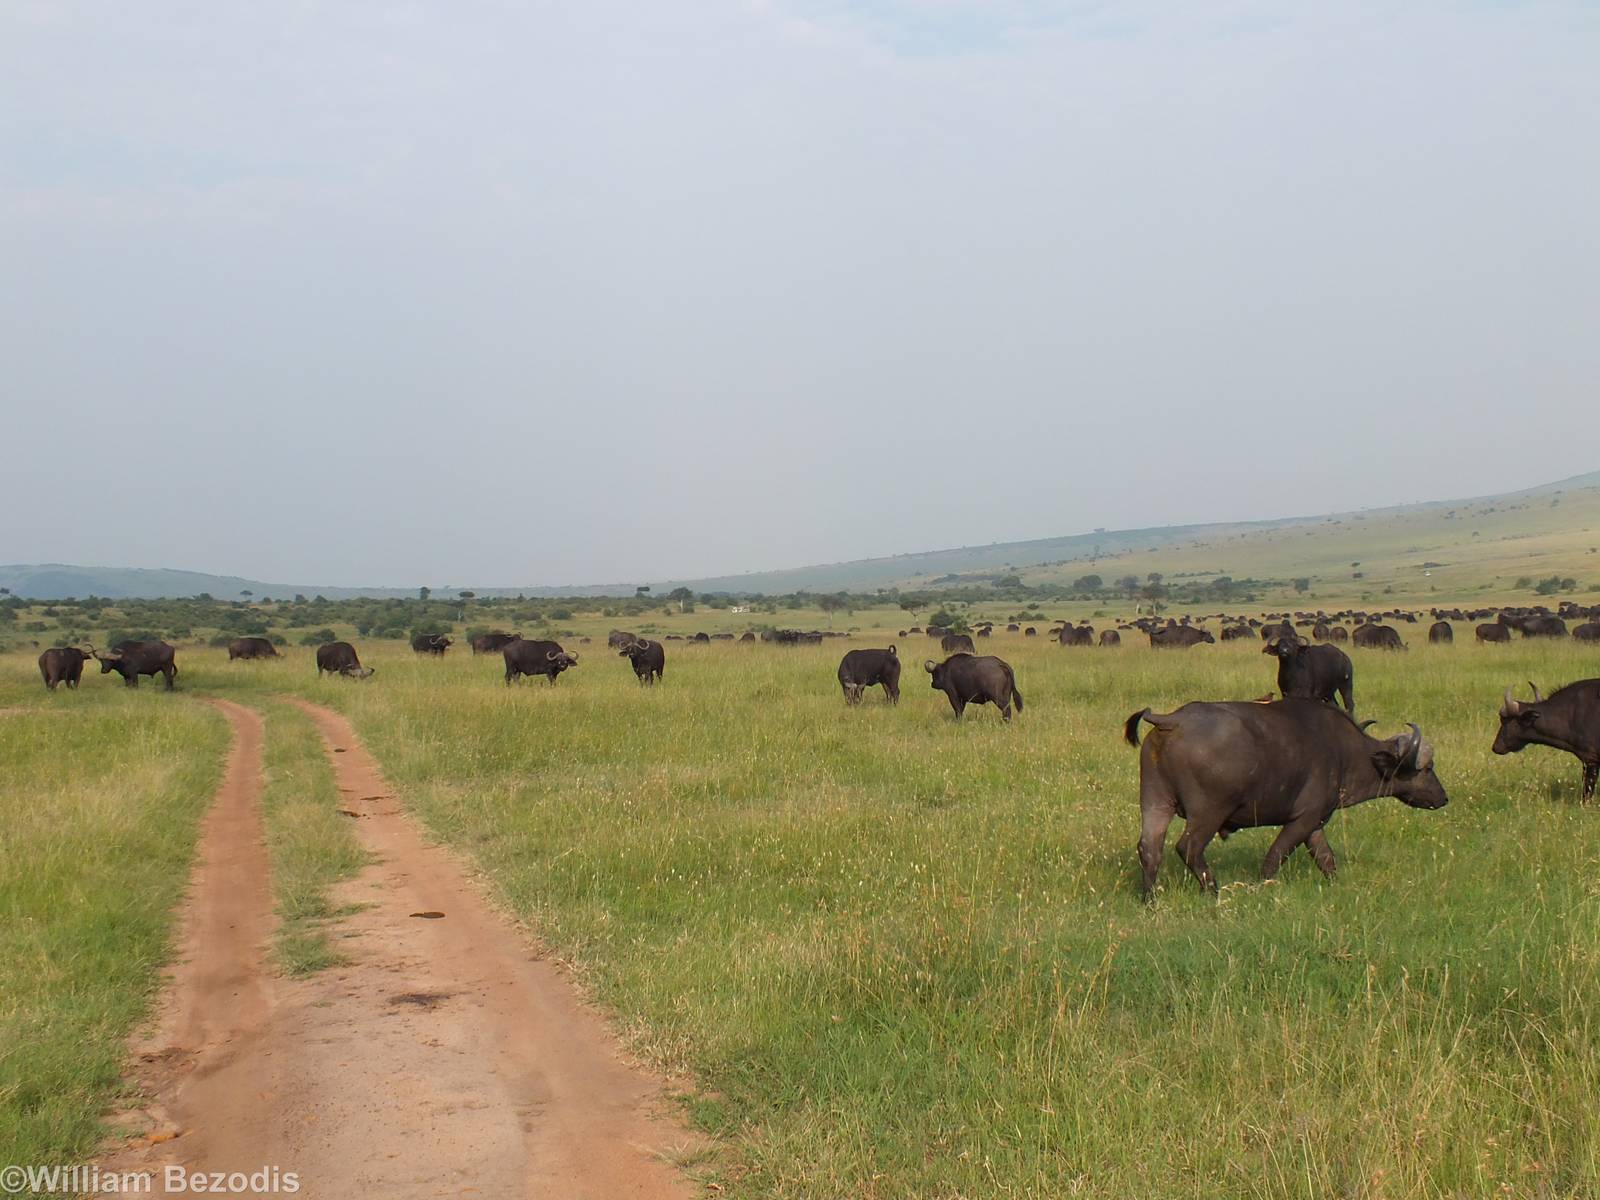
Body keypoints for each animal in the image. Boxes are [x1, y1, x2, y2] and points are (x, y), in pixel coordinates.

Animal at [1126, 700, 1445, 899]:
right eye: (1427, 768)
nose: (1443, 798)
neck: (1344, 751)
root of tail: (1174, 720)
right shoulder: (1303, 819)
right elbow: (1275, 856)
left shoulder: (1314, 824)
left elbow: (1326, 858)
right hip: (1209, 812)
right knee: (1189, 847)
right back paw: (1213, 890)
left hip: (1155, 803)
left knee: (1149, 849)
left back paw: (1149, 899)